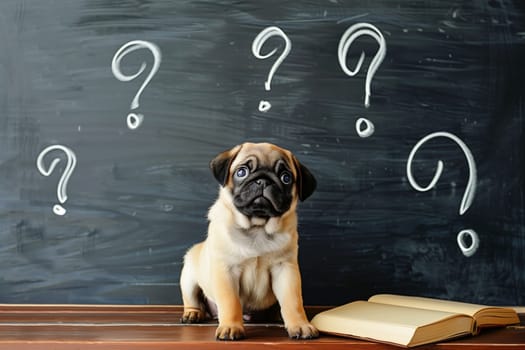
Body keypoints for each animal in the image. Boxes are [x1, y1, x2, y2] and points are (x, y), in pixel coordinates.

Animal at [180, 142, 318, 340]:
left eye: (286, 178)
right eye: (241, 172)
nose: (263, 180)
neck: (257, 228)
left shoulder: (285, 269)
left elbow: (293, 301)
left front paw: (300, 325)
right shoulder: (226, 271)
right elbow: (230, 302)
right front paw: (231, 327)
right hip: (189, 277)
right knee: (192, 299)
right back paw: (193, 314)